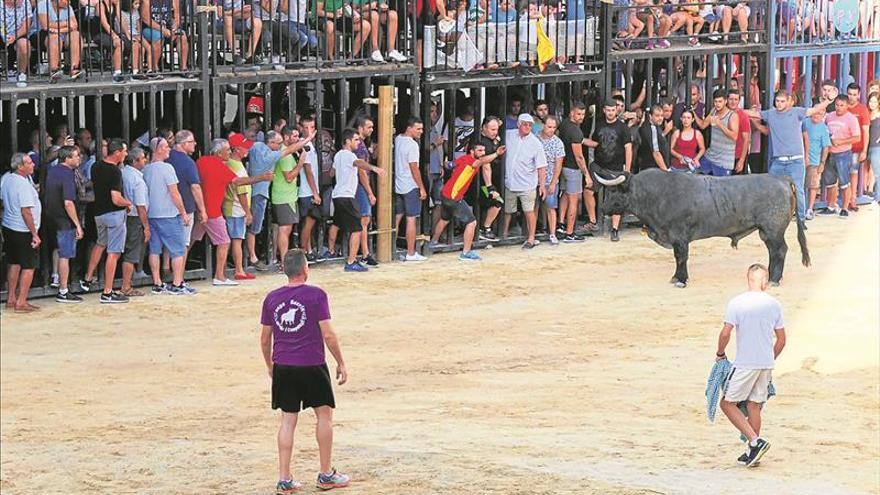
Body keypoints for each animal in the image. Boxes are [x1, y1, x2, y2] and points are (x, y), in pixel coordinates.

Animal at [592, 170, 812, 288]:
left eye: (614, 190)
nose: (602, 209)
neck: (656, 194)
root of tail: (781, 179)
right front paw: (676, 277)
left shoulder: (679, 237)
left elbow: (681, 257)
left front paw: (681, 280)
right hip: (766, 232)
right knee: (773, 252)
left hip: (773, 230)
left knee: (780, 251)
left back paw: (774, 279)